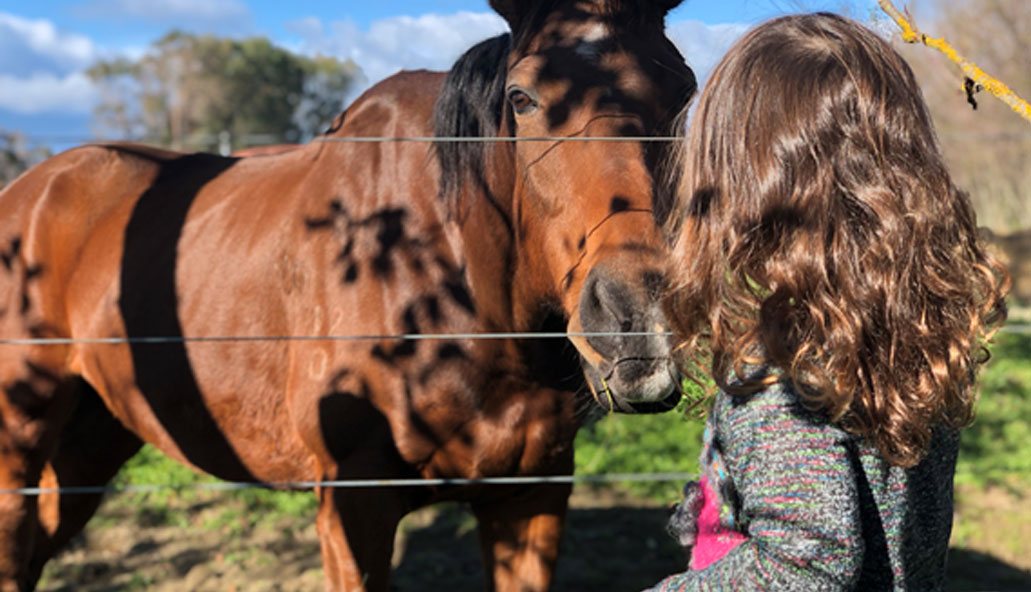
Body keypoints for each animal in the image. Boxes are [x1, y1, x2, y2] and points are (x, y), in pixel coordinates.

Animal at [0, 2, 696, 589]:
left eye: (686, 92)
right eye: (521, 98)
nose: (637, 320)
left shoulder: (531, 495)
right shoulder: (351, 503)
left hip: (91, 441)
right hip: (20, 443)